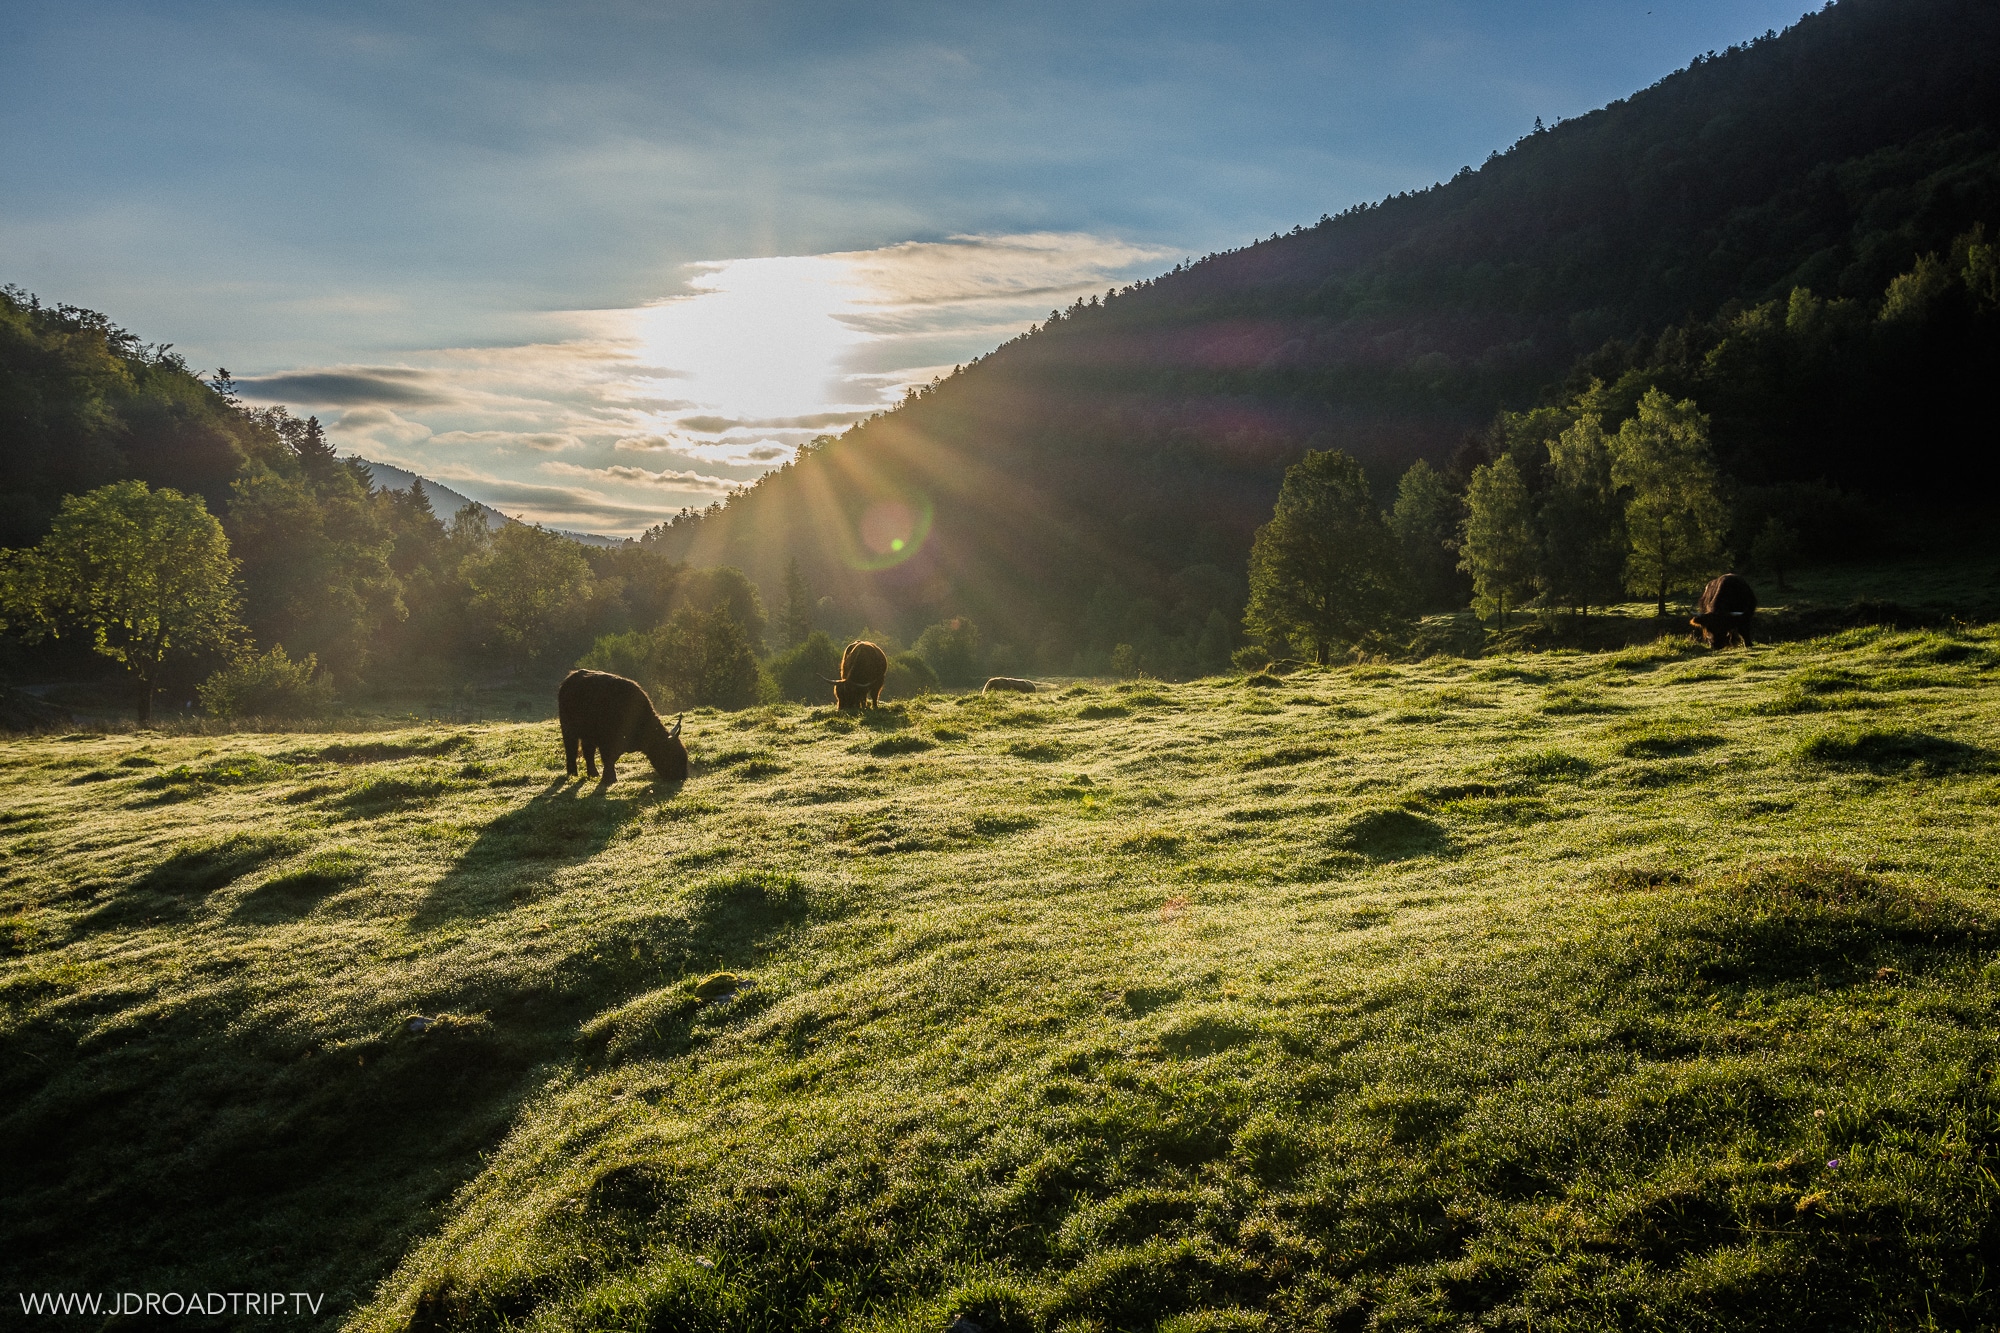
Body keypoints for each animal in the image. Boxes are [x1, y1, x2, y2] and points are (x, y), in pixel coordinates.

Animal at [560, 664, 692, 780]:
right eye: (673, 755)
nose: (682, 776)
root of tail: (570, 678)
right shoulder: (606, 741)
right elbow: (608, 758)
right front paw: (609, 778)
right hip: (568, 730)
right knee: (571, 749)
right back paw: (572, 773)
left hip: (587, 735)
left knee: (588, 752)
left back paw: (593, 774)